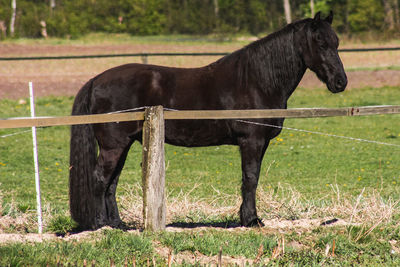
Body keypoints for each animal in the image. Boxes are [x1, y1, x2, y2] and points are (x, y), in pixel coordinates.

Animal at [69, 12, 346, 230]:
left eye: (336, 42)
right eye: (320, 42)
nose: (341, 82)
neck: (256, 80)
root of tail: (95, 81)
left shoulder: (262, 143)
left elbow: (252, 178)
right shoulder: (252, 141)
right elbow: (250, 178)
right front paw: (251, 220)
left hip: (122, 145)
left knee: (111, 182)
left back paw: (116, 224)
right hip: (113, 145)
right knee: (100, 179)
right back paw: (100, 225)